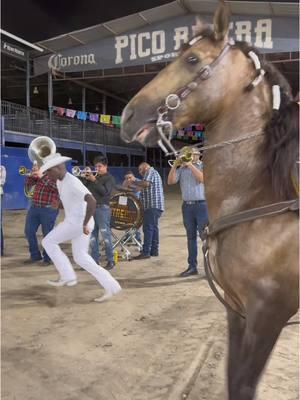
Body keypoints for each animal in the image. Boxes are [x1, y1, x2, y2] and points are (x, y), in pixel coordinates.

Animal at [120, 1, 298, 398]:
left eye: (191, 59)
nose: (127, 115)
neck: (260, 199)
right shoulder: (237, 309)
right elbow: (234, 380)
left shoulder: (269, 314)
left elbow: (245, 383)